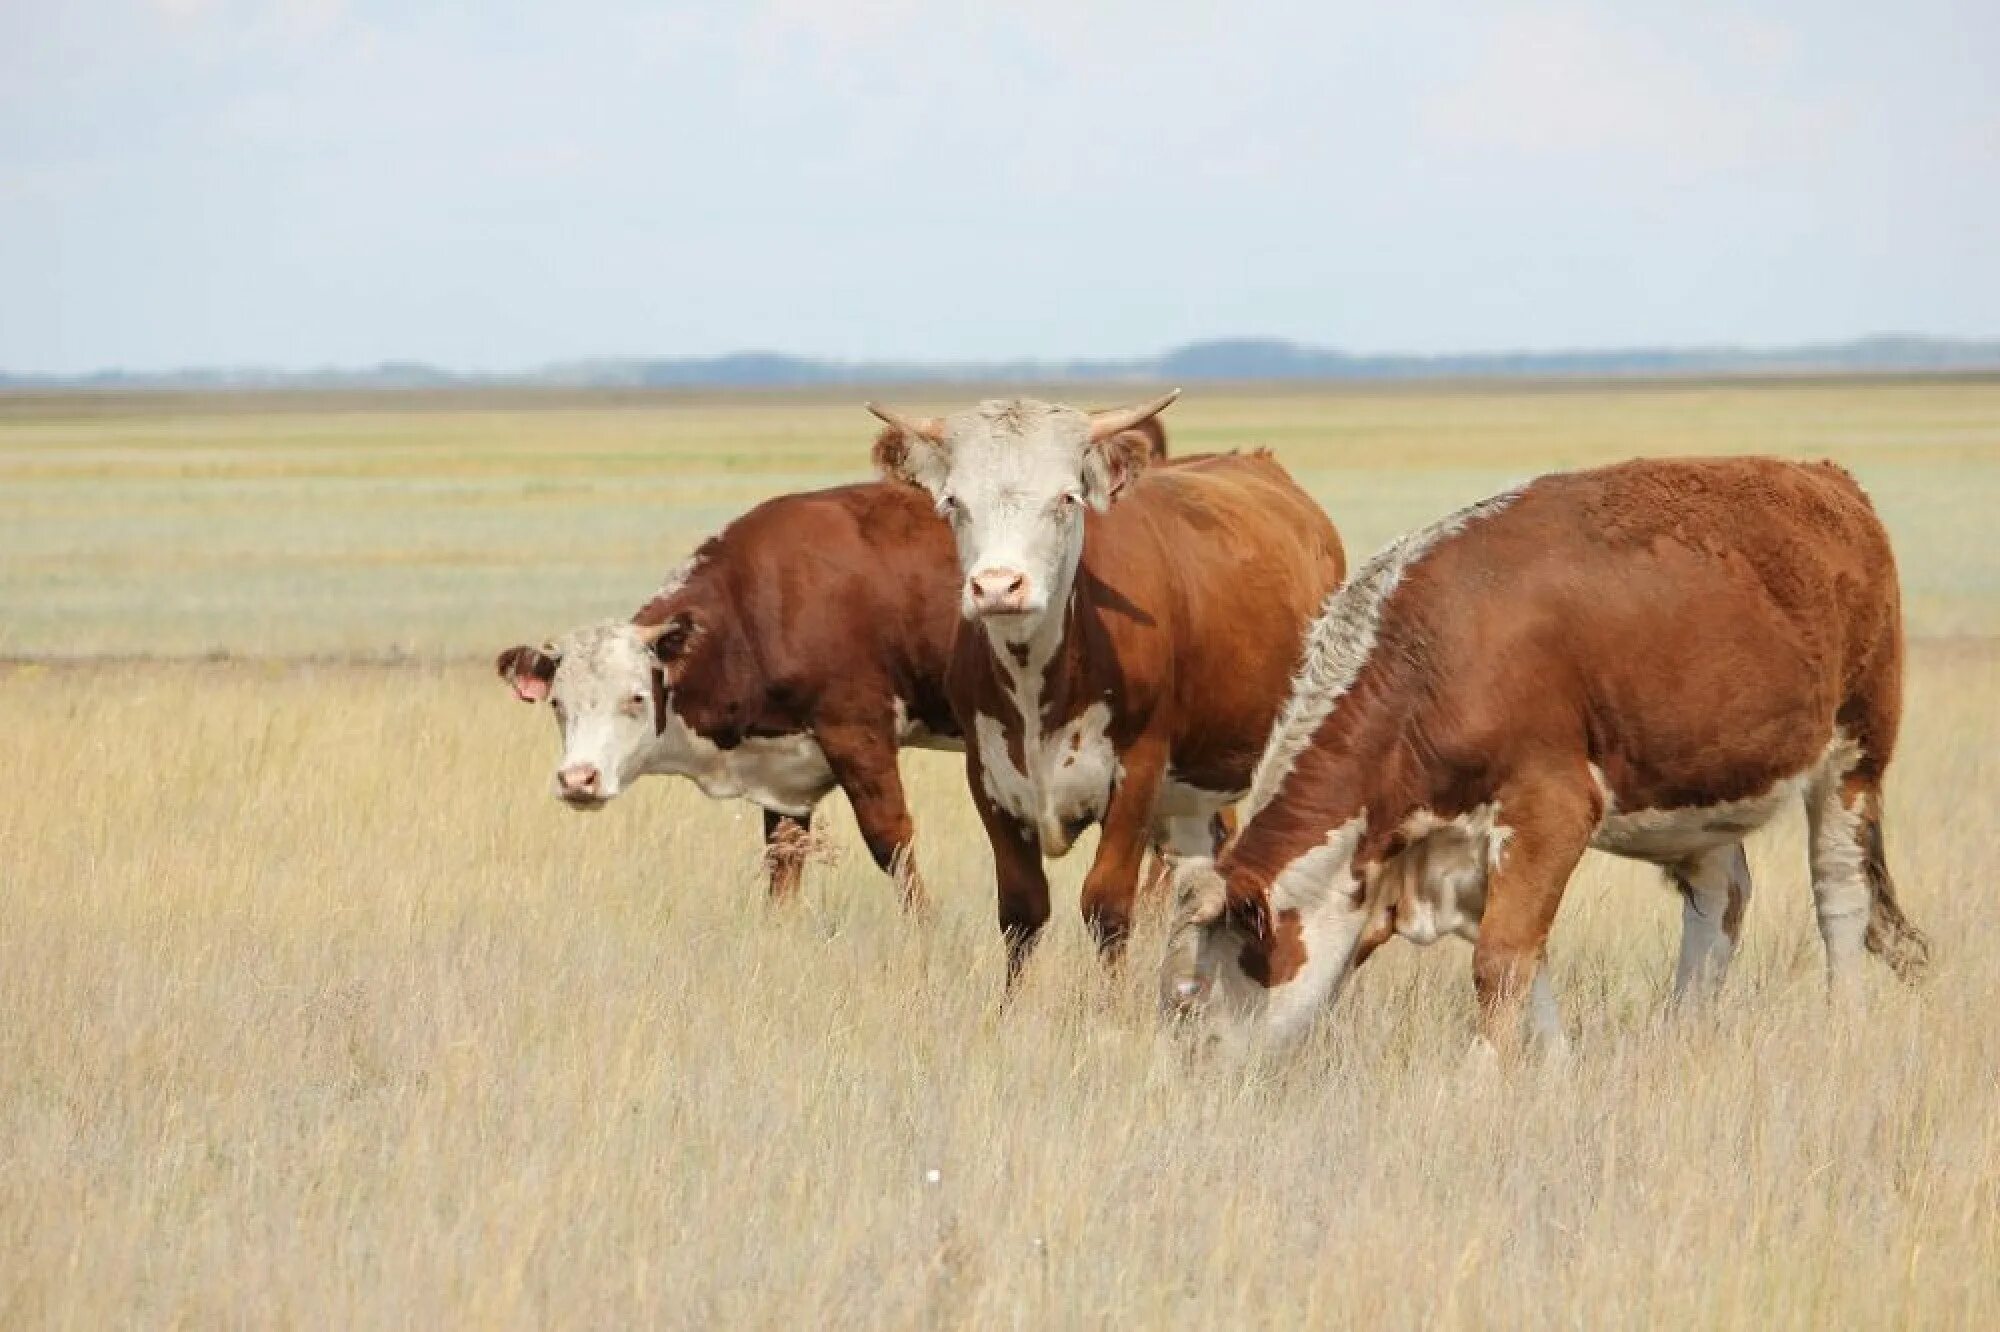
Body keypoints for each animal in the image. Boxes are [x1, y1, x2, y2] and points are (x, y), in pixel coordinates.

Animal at [868, 390, 1352, 980]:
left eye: (1067, 498)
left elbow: (1107, 905)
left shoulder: (1137, 774)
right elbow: (1022, 910)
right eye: (954, 502)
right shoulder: (988, 777)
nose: (999, 587)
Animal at [1168, 456, 1928, 1056]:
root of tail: (1826, 478)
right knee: (1720, 900)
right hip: (1700, 790)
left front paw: (1476, 1088)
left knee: (1839, 893)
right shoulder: (1464, 849)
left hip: (1855, 751)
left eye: (1193, 997)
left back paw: (1844, 1023)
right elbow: (1525, 962)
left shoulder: (1550, 813)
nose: (1195, 1071)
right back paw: (1683, 1033)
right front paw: (1557, 1072)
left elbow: (1501, 962)